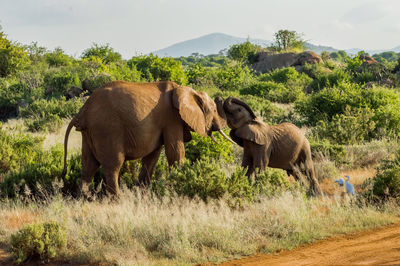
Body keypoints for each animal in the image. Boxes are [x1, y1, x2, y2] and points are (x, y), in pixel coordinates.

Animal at [62, 80, 234, 195]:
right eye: (213, 110)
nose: (222, 98)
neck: (187, 91)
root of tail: (83, 111)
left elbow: (152, 156)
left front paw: (143, 192)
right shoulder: (172, 118)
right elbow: (175, 152)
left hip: (89, 132)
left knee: (88, 164)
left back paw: (84, 198)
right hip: (107, 128)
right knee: (113, 165)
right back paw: (116, 199)